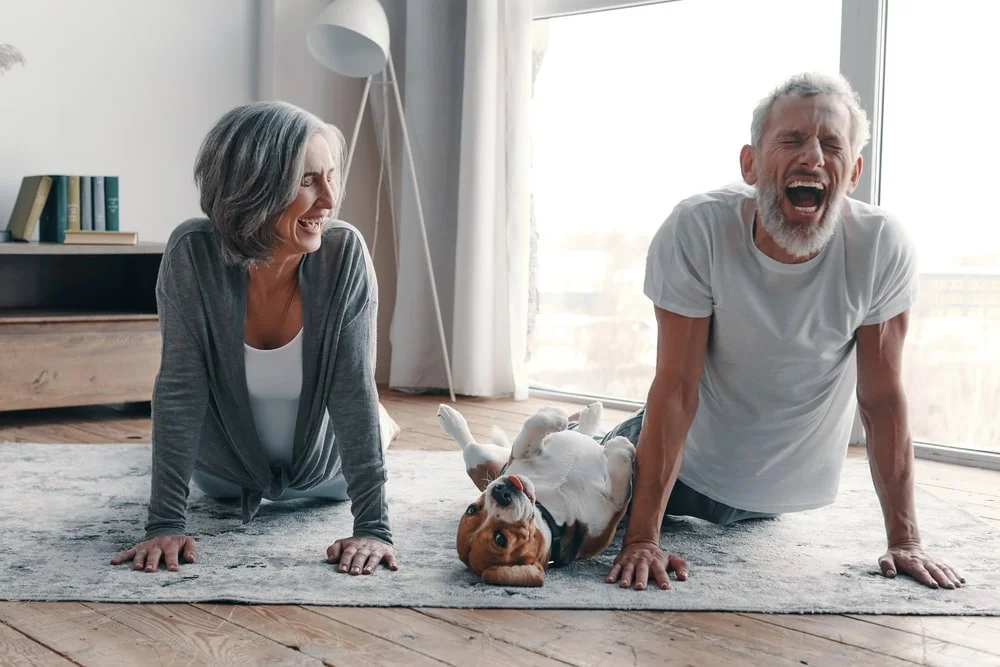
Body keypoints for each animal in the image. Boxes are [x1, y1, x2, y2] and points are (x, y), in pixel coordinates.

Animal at [436, 402, 632, 584]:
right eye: (500, 539)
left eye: (471, 509)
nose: (501, 493)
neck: (551, 507)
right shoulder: (609, 518)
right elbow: (620, 490)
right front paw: (620, 446)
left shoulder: (520, 456)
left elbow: (535, 424)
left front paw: (555, 414)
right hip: (478, 455)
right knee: (469, 445)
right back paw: (450, 418)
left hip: (488, 457)